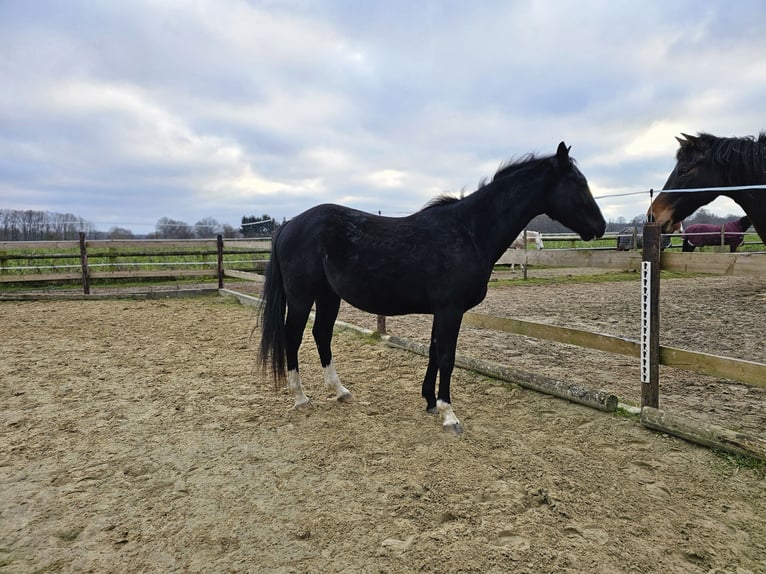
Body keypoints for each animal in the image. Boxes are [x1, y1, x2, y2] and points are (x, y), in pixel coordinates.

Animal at [258, 142, 606, 433]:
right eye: (578, 183)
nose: (600, 227)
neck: (469, 231)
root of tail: (289, 225)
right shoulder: (451, 310)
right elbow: (447, 357)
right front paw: (449, 414)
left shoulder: (442, 310)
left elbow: (434, 352)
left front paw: (429, 401)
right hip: (302, 297)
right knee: (293, 337)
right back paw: (300, 397)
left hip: (329, 296)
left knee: (321, 334)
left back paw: (340, 391)